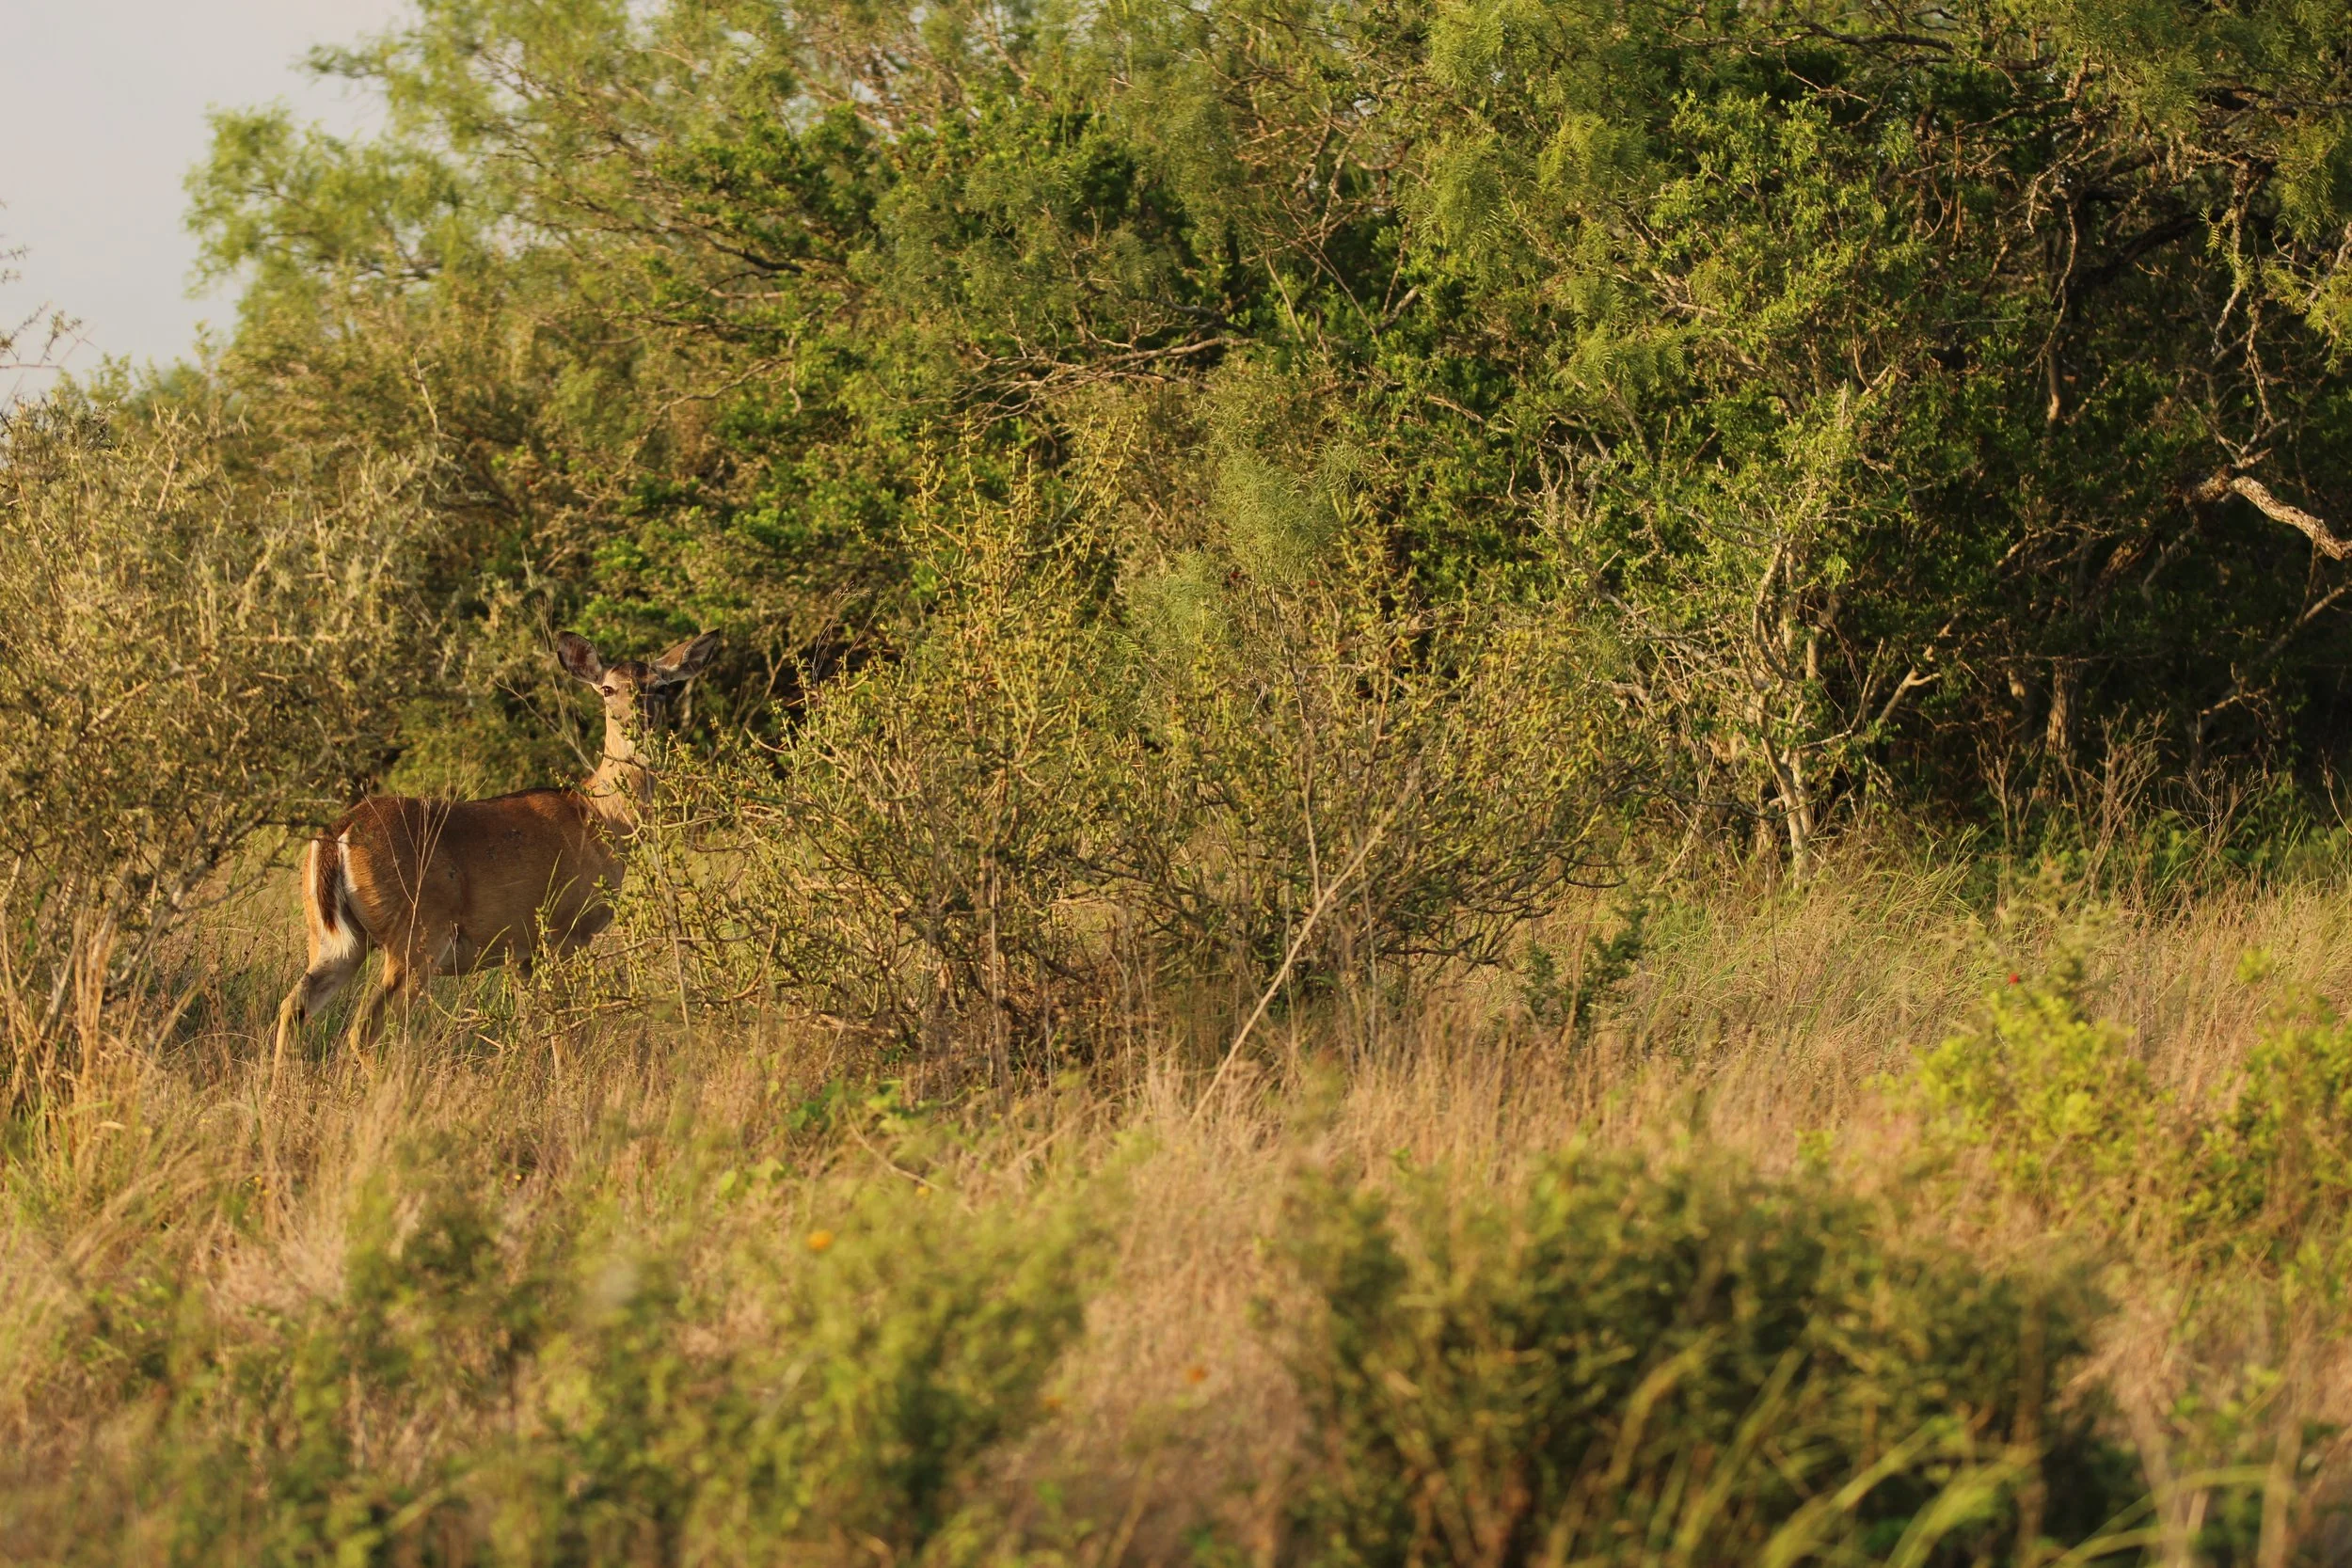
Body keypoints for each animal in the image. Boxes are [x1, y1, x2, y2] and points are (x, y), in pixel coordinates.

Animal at [272, 629, 720, 1070]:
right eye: (607, 688)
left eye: (661, 687)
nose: (638, 719)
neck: (602, 819)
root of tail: (341, 831)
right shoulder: (565, 930)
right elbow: (566, 1030)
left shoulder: (521, 952)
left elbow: (535, 1028)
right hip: (416, 932)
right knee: (364, 1028)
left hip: (333, 939)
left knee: (293, 1006)